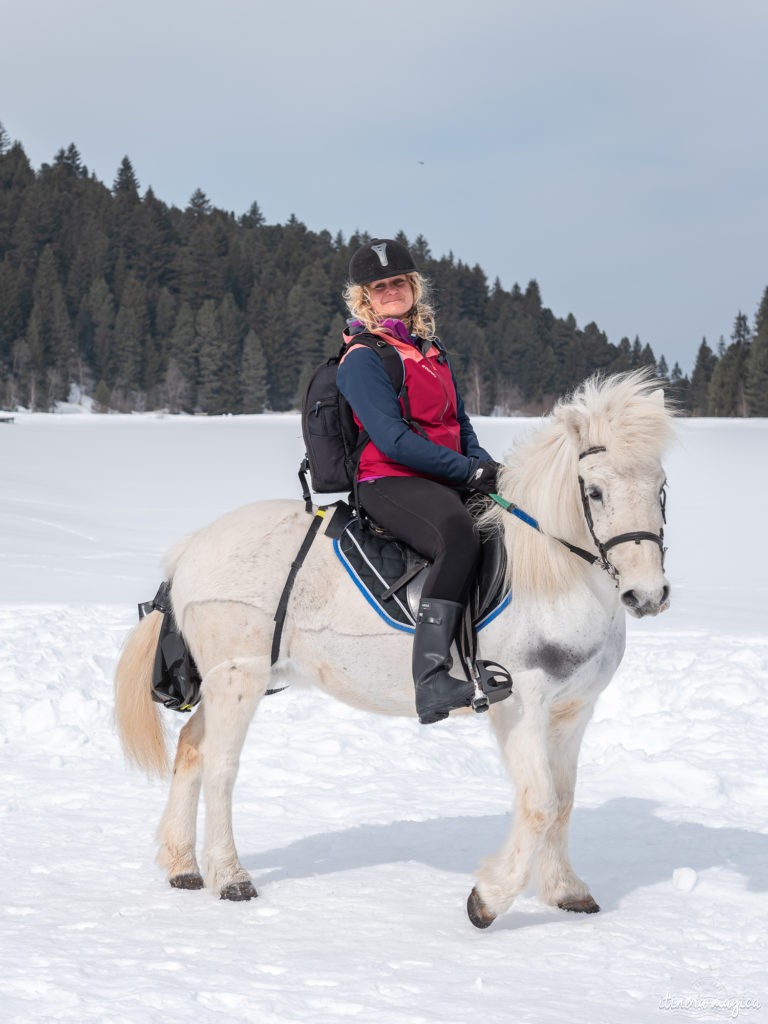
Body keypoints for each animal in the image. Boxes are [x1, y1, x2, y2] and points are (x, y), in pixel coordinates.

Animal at [112, 370, 671, 929]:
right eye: (594, 491)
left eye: (661, 487)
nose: (646, 596)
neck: (554, 573)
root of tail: (193, 546)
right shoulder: (520, 704)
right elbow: (539, 802)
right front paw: (487, 900)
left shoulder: (573, 709)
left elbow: (565, 800)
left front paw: (565, 891)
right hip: (238, 679)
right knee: (220, 767)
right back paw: (230, 877)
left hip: (230, 680)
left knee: (191, 748)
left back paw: (183, 866)